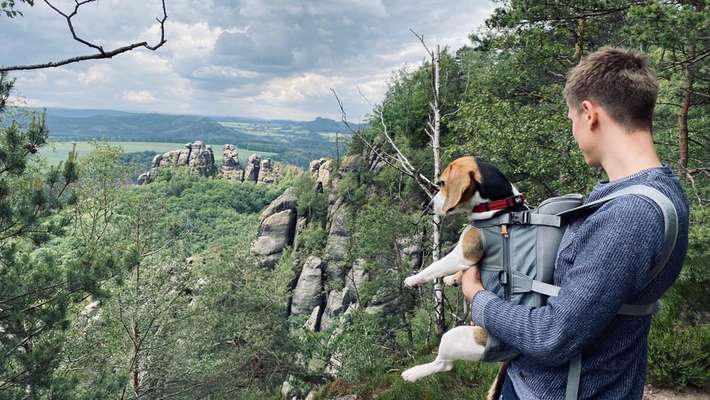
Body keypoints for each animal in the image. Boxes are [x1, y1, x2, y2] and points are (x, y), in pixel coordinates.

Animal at [404, 156, 524, 396]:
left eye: (442, 183)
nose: (428, 207)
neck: (499, 204)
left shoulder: (463, 254)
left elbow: (436, 266)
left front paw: (414, 279)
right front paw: (454, 279)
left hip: (457, 337)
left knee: (444, 364)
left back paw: (412, 373)